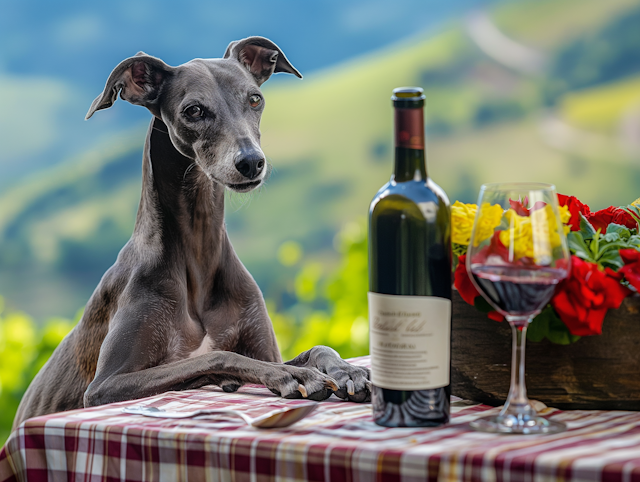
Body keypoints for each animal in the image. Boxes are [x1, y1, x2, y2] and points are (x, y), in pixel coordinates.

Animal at [13, 37, 370, 430]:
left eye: (255, 99)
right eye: (194, 110)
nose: (251, 162)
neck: (198, 252)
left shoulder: (266, 347)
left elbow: (317, 348)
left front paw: (348, 370)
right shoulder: (104, 386)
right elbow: (215, 357)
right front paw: (292, 376)